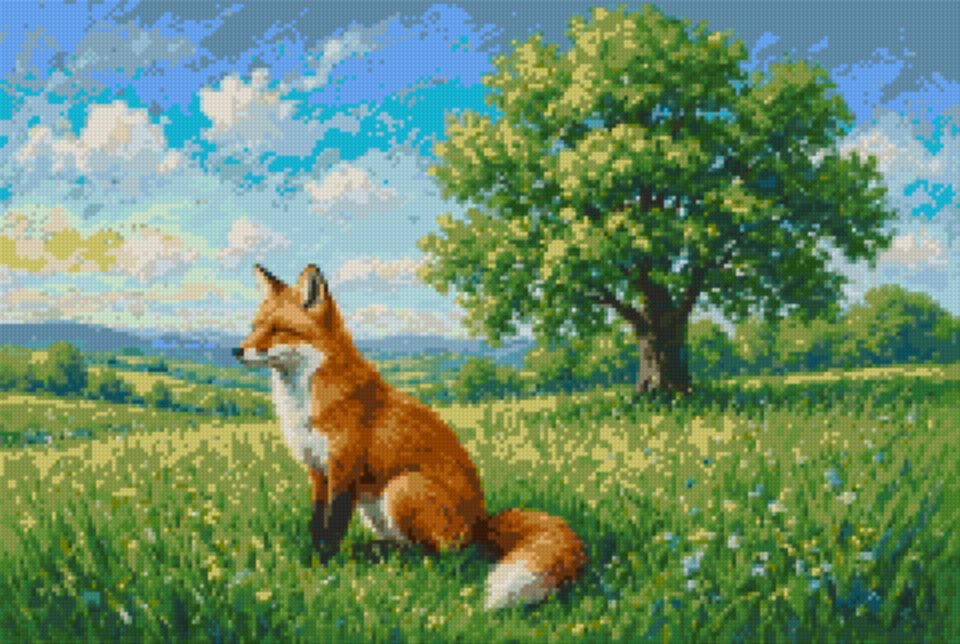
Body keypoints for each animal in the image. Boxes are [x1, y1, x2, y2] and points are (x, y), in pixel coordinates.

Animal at [233, 263, 587, 610]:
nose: (237, 350)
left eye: (278, 329)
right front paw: (312, 559)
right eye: (254, 326)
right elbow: (317, 523)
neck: (307, 405)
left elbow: (332, 528)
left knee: (441, 555)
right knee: (406, 544)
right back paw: (375, 552)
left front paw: (321, 568)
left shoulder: (344, 470)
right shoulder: (317, 472)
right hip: (374, 507)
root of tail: (481, 522)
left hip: (402, 488)